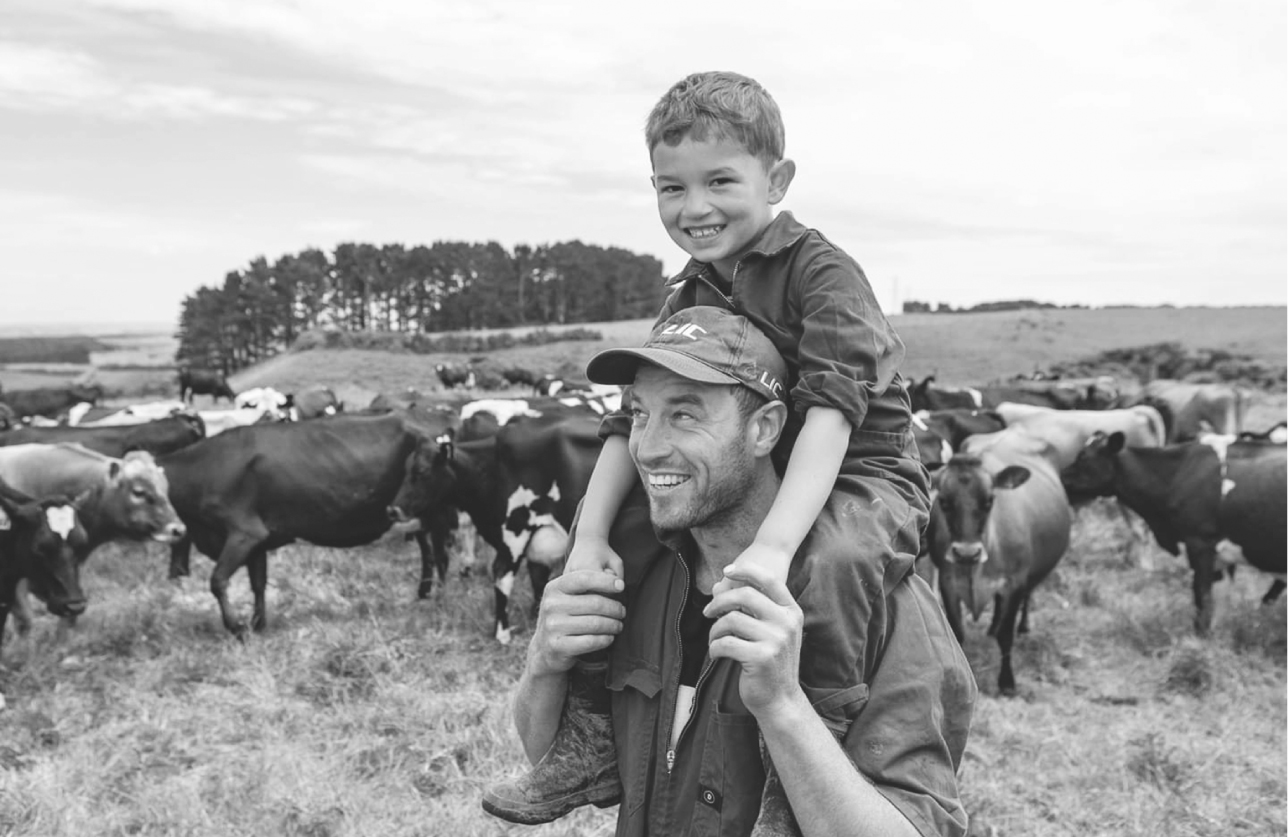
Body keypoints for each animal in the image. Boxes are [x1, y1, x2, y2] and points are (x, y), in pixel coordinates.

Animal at [157, 409, 453, 633]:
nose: (173, 574)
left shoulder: (244, 533)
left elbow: (217, 581)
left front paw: (236, 626)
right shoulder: (258, 540)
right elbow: (258, 583)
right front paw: (257, 624)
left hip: (439, 511)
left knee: (442, 553)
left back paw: (442, 598)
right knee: (427, 547)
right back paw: (424, 592)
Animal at [932, 427, 1071, 695]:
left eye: (988, 501)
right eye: (943, 502)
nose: (966, 553)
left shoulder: (1014, 582)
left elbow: (1006, 635)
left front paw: (1007, 681)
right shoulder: (947, 581)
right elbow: (957, 632)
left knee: (1027, 596)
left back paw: (1022, 625)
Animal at [1061, 430, 1282, 633]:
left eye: (1083, 456)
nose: (1060, 477)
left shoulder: (1199, 544)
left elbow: (1202, 600)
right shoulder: (1223, 556)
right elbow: (1218, 606)